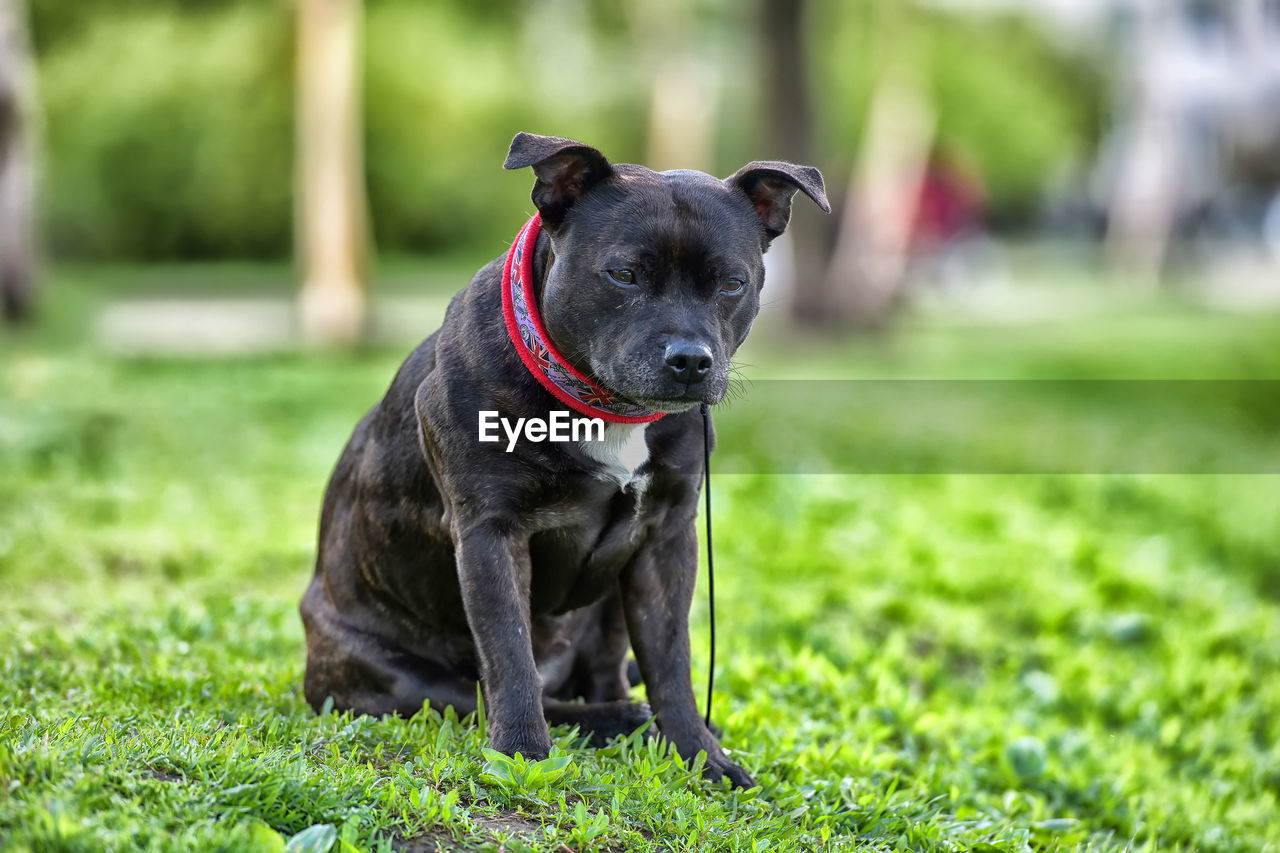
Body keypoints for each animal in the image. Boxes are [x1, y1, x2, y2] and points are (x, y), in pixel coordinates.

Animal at [296, 131, 829, 783]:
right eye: (623, 275)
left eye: (732, 283)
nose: (690, 359)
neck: (607, 407)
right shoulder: (490, 535)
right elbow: (508, 658)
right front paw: (523, 755)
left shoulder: (666, 538)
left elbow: (673, 665)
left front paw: (700, 755)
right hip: (397, 674)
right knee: (496, 693)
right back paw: (614, 721)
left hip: (610, 608)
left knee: (606, 670)